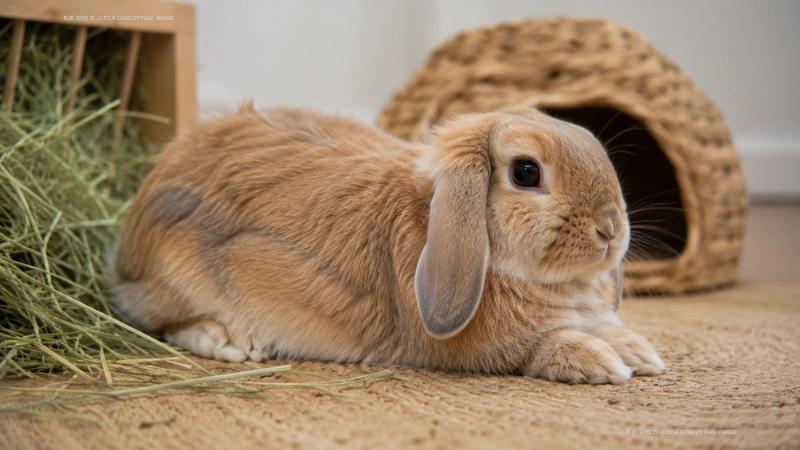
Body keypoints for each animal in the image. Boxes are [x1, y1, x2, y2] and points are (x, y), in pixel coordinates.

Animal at [109, 104, 666, 384]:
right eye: (526, 172)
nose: (612, 230)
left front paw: (639, 351)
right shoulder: (487, 350)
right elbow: (545, 346)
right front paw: (601, 363)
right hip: (179, 276)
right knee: (162, 323)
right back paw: (228, 340)